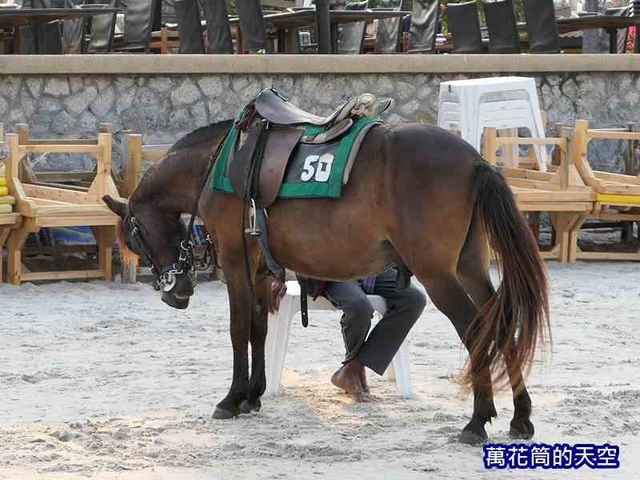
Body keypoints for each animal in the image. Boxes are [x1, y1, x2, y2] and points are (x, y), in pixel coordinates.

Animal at [104, 118, 552, 444]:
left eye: (134, 237)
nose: (175, 293)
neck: (220, 164)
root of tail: (475, 160)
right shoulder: (261, 270)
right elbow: (259, 328)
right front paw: (253, 394)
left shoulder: (234, 262)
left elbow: (237, 329)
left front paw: (232, 398)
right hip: (468, 266)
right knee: (501, 323)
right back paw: (520, 415)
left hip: (439, 274)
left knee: (476, 329)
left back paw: (477, 420)